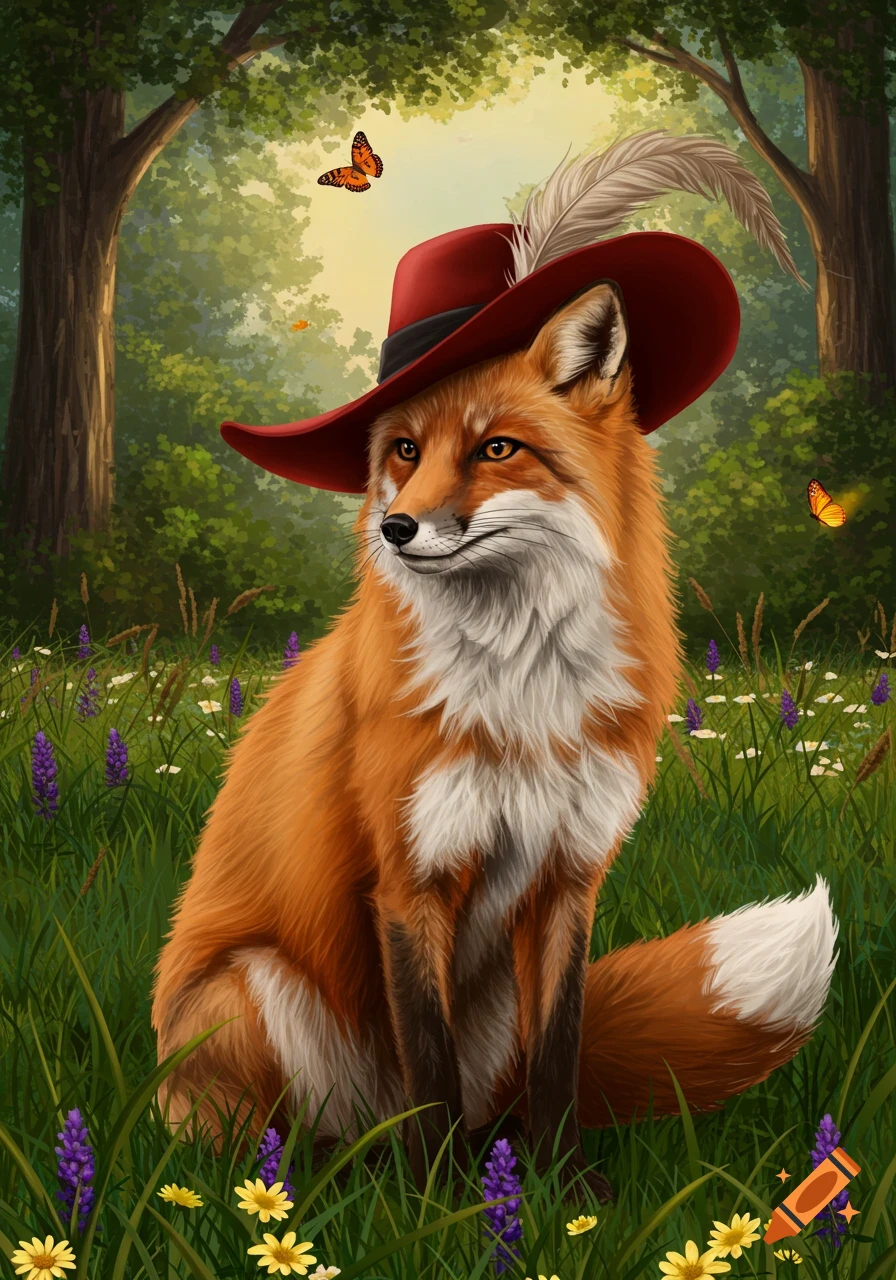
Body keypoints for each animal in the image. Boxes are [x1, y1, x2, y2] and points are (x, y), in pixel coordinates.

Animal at [152, 271, 838, 1201]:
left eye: (496, 449)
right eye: (405, 451)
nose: (397, 528)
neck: (522, 693)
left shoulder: (567, 880)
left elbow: (557, 1058)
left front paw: (564, 1195)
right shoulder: (410, 884)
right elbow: (427, 1068)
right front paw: (435, 1205)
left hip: (491, 1010)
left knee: (491, 1101)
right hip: (254, 988)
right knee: (299, 1137)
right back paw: (338, 1184)